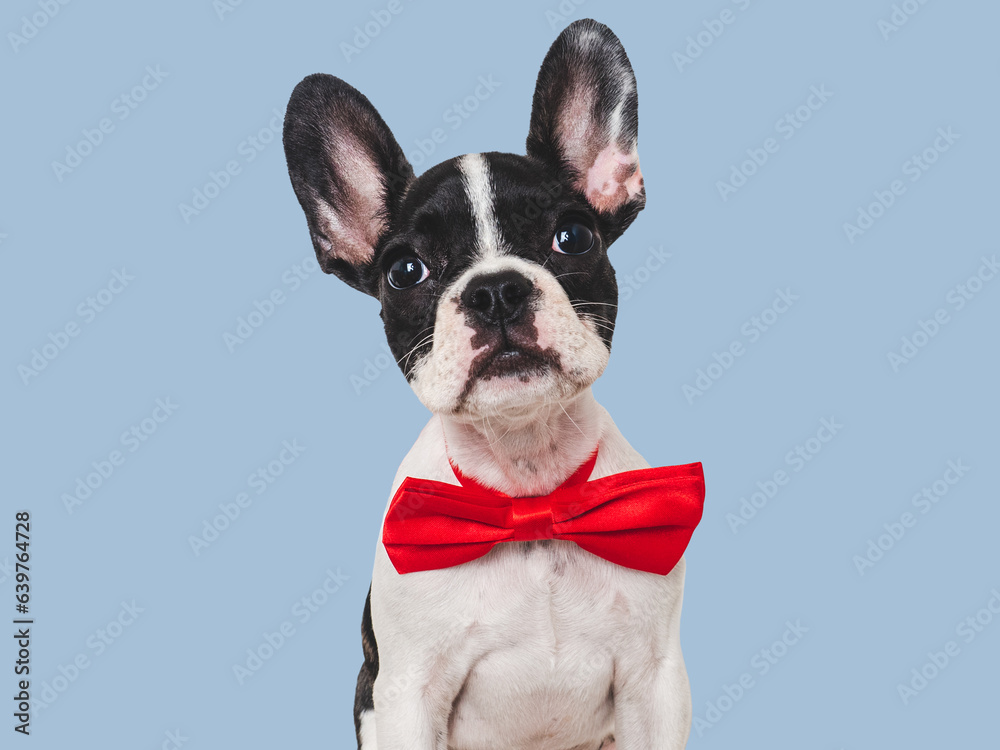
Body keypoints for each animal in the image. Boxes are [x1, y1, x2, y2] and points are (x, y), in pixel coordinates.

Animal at [284, 17, 704, 750]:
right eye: (405, 272)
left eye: (574, 236)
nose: (496, 290)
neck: (526, 489)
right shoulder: (405, 693)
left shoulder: (655, 682)